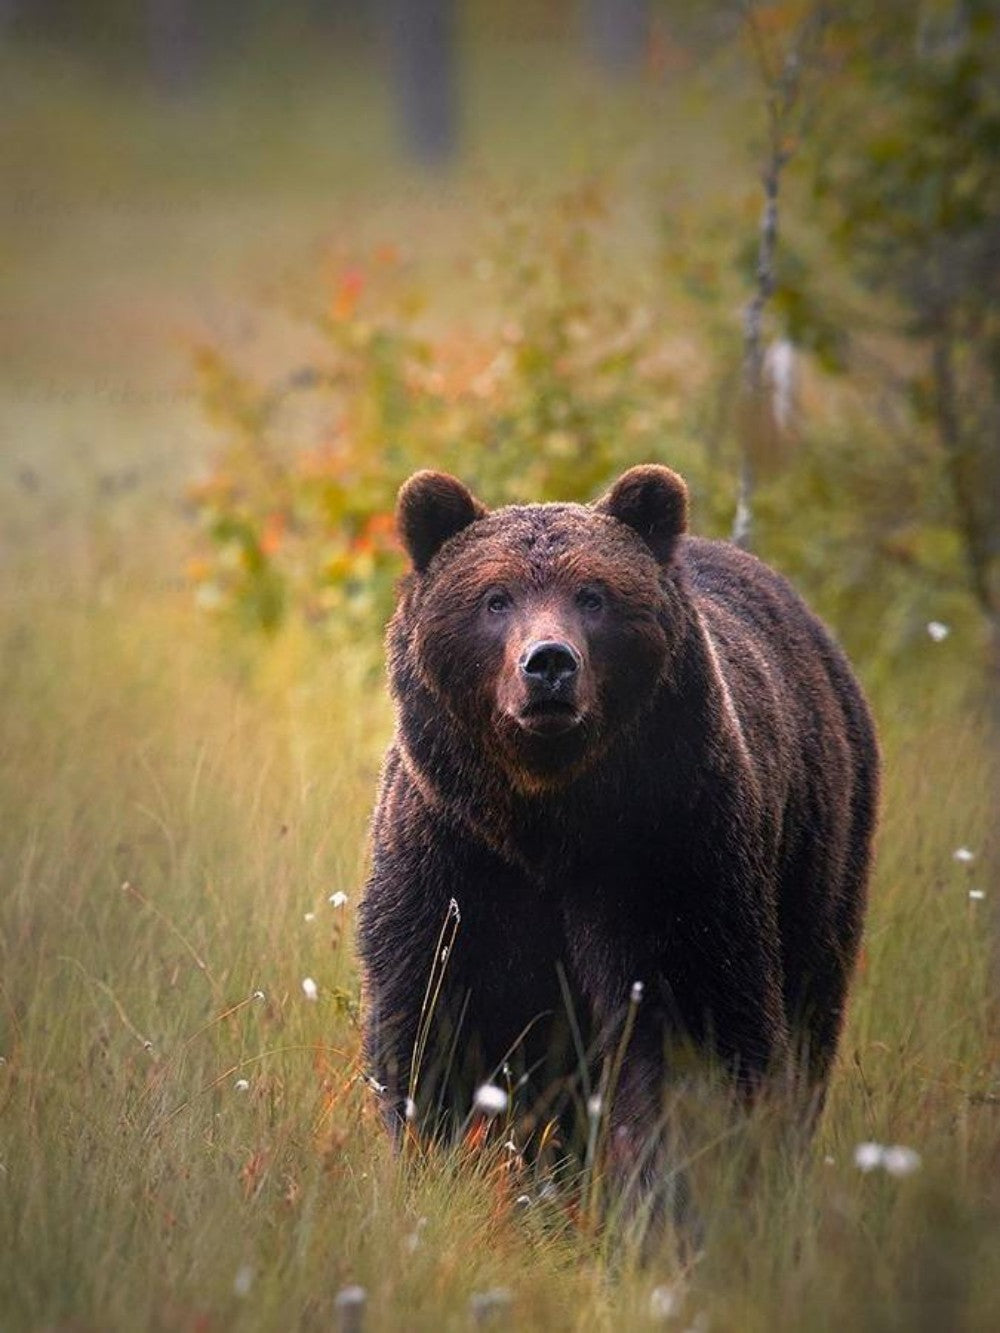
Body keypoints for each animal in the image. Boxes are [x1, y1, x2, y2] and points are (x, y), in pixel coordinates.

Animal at [357, 464, 878, 1206]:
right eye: (495, 598)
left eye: (593, 595)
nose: (548, 663)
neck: (547, 819)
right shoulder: (454, 854)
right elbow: (434, 1015)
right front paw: (444, 1168)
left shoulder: (666, 848)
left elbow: (689, 1023)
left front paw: (675, 1196)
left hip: (819, 847)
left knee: (810, 1009)